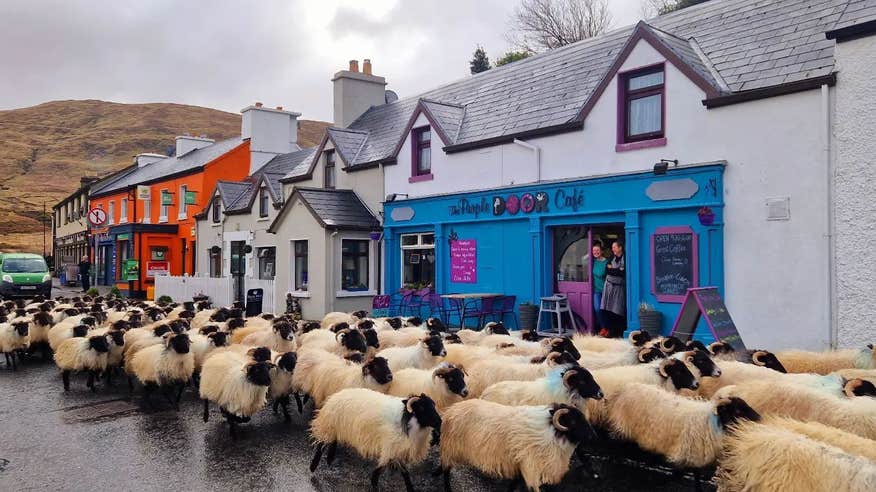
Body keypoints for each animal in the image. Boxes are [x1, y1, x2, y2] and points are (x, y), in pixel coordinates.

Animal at [310, 388, 444, 492]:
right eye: (422, 408)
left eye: (433, 405)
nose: (440, 422)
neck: (408, 420)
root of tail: (335, 396)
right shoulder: (390, 447)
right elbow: (381, 468)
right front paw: (374, 484)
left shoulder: (398, 450)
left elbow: (405, 473)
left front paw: (410, 488)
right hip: (330, 425)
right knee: (321, 444)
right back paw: (313, 466)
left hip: (337, 427)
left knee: (333, 441)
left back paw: (329, 459)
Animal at [438, 402, 596, 490]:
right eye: (573, 421)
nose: (593, 436)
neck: (551, 432)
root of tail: (451, 410)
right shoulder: (530, 465)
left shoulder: (519, 464)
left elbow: (514, 484)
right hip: (450, 447)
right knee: (446, 470)